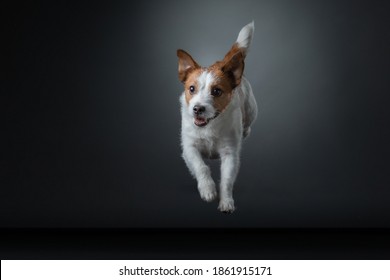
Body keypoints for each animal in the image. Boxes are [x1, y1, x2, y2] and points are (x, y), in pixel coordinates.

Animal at [176, 21, 256, 213]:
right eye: (191, 89)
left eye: (217, 91)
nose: (198, 109)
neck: (209, 126)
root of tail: (220, 62)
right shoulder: (189, 148)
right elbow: (201, 167)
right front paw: (208, 189)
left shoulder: (230, 154)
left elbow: (226, 181)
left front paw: (226, 201)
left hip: (251, 109)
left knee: (248, 123)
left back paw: (246, 131)